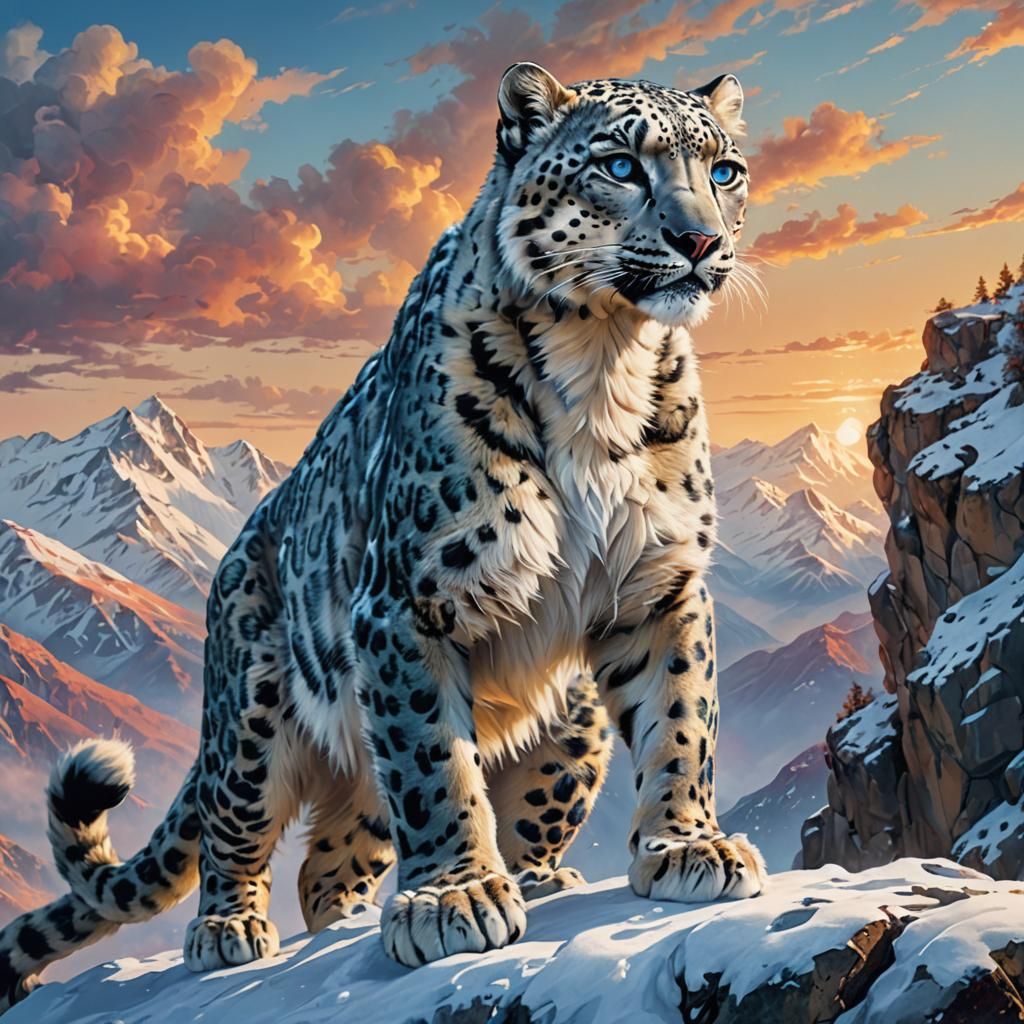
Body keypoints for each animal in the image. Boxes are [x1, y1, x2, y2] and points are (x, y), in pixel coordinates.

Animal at [0, 61, 766, 1011]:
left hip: (568, 721)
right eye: (621, 165)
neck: (603, 361)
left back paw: (518, 880)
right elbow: (437, 763)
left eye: (724, 170)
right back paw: (229, 931)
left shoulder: (661, 584)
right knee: (234, 827)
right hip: (253, 713)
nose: (700, 241)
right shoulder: (408, 604)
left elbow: (682, 721)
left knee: (340, 858)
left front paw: (690, 847)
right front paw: (454, 899)